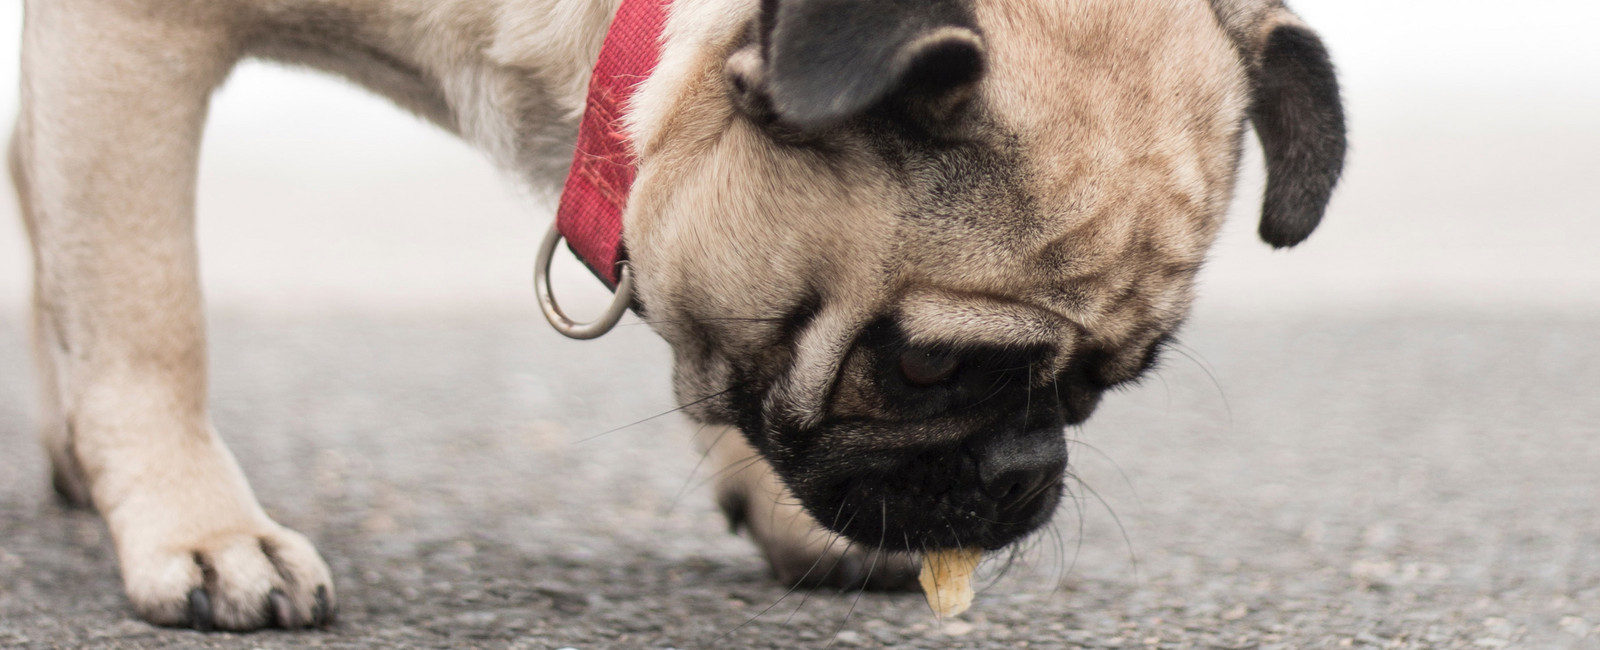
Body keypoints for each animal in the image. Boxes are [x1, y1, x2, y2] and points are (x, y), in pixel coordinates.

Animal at [12, 0, 1337, 633]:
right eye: (923, 368)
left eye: (1104, 386)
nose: (1027, 472)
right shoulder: (133, 37)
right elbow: (148, 306)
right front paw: (202, 530)